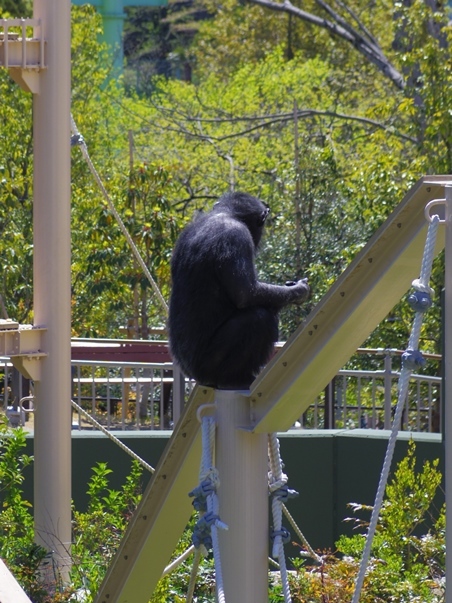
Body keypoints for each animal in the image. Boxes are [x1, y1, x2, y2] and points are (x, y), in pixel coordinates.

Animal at [168, 193, 308, 392]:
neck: (225, 214)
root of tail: (193, 375)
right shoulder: (237, 238)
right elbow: (246, 292)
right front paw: (299, 290)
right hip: (207, 365)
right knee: (258, 318)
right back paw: (233, 379)